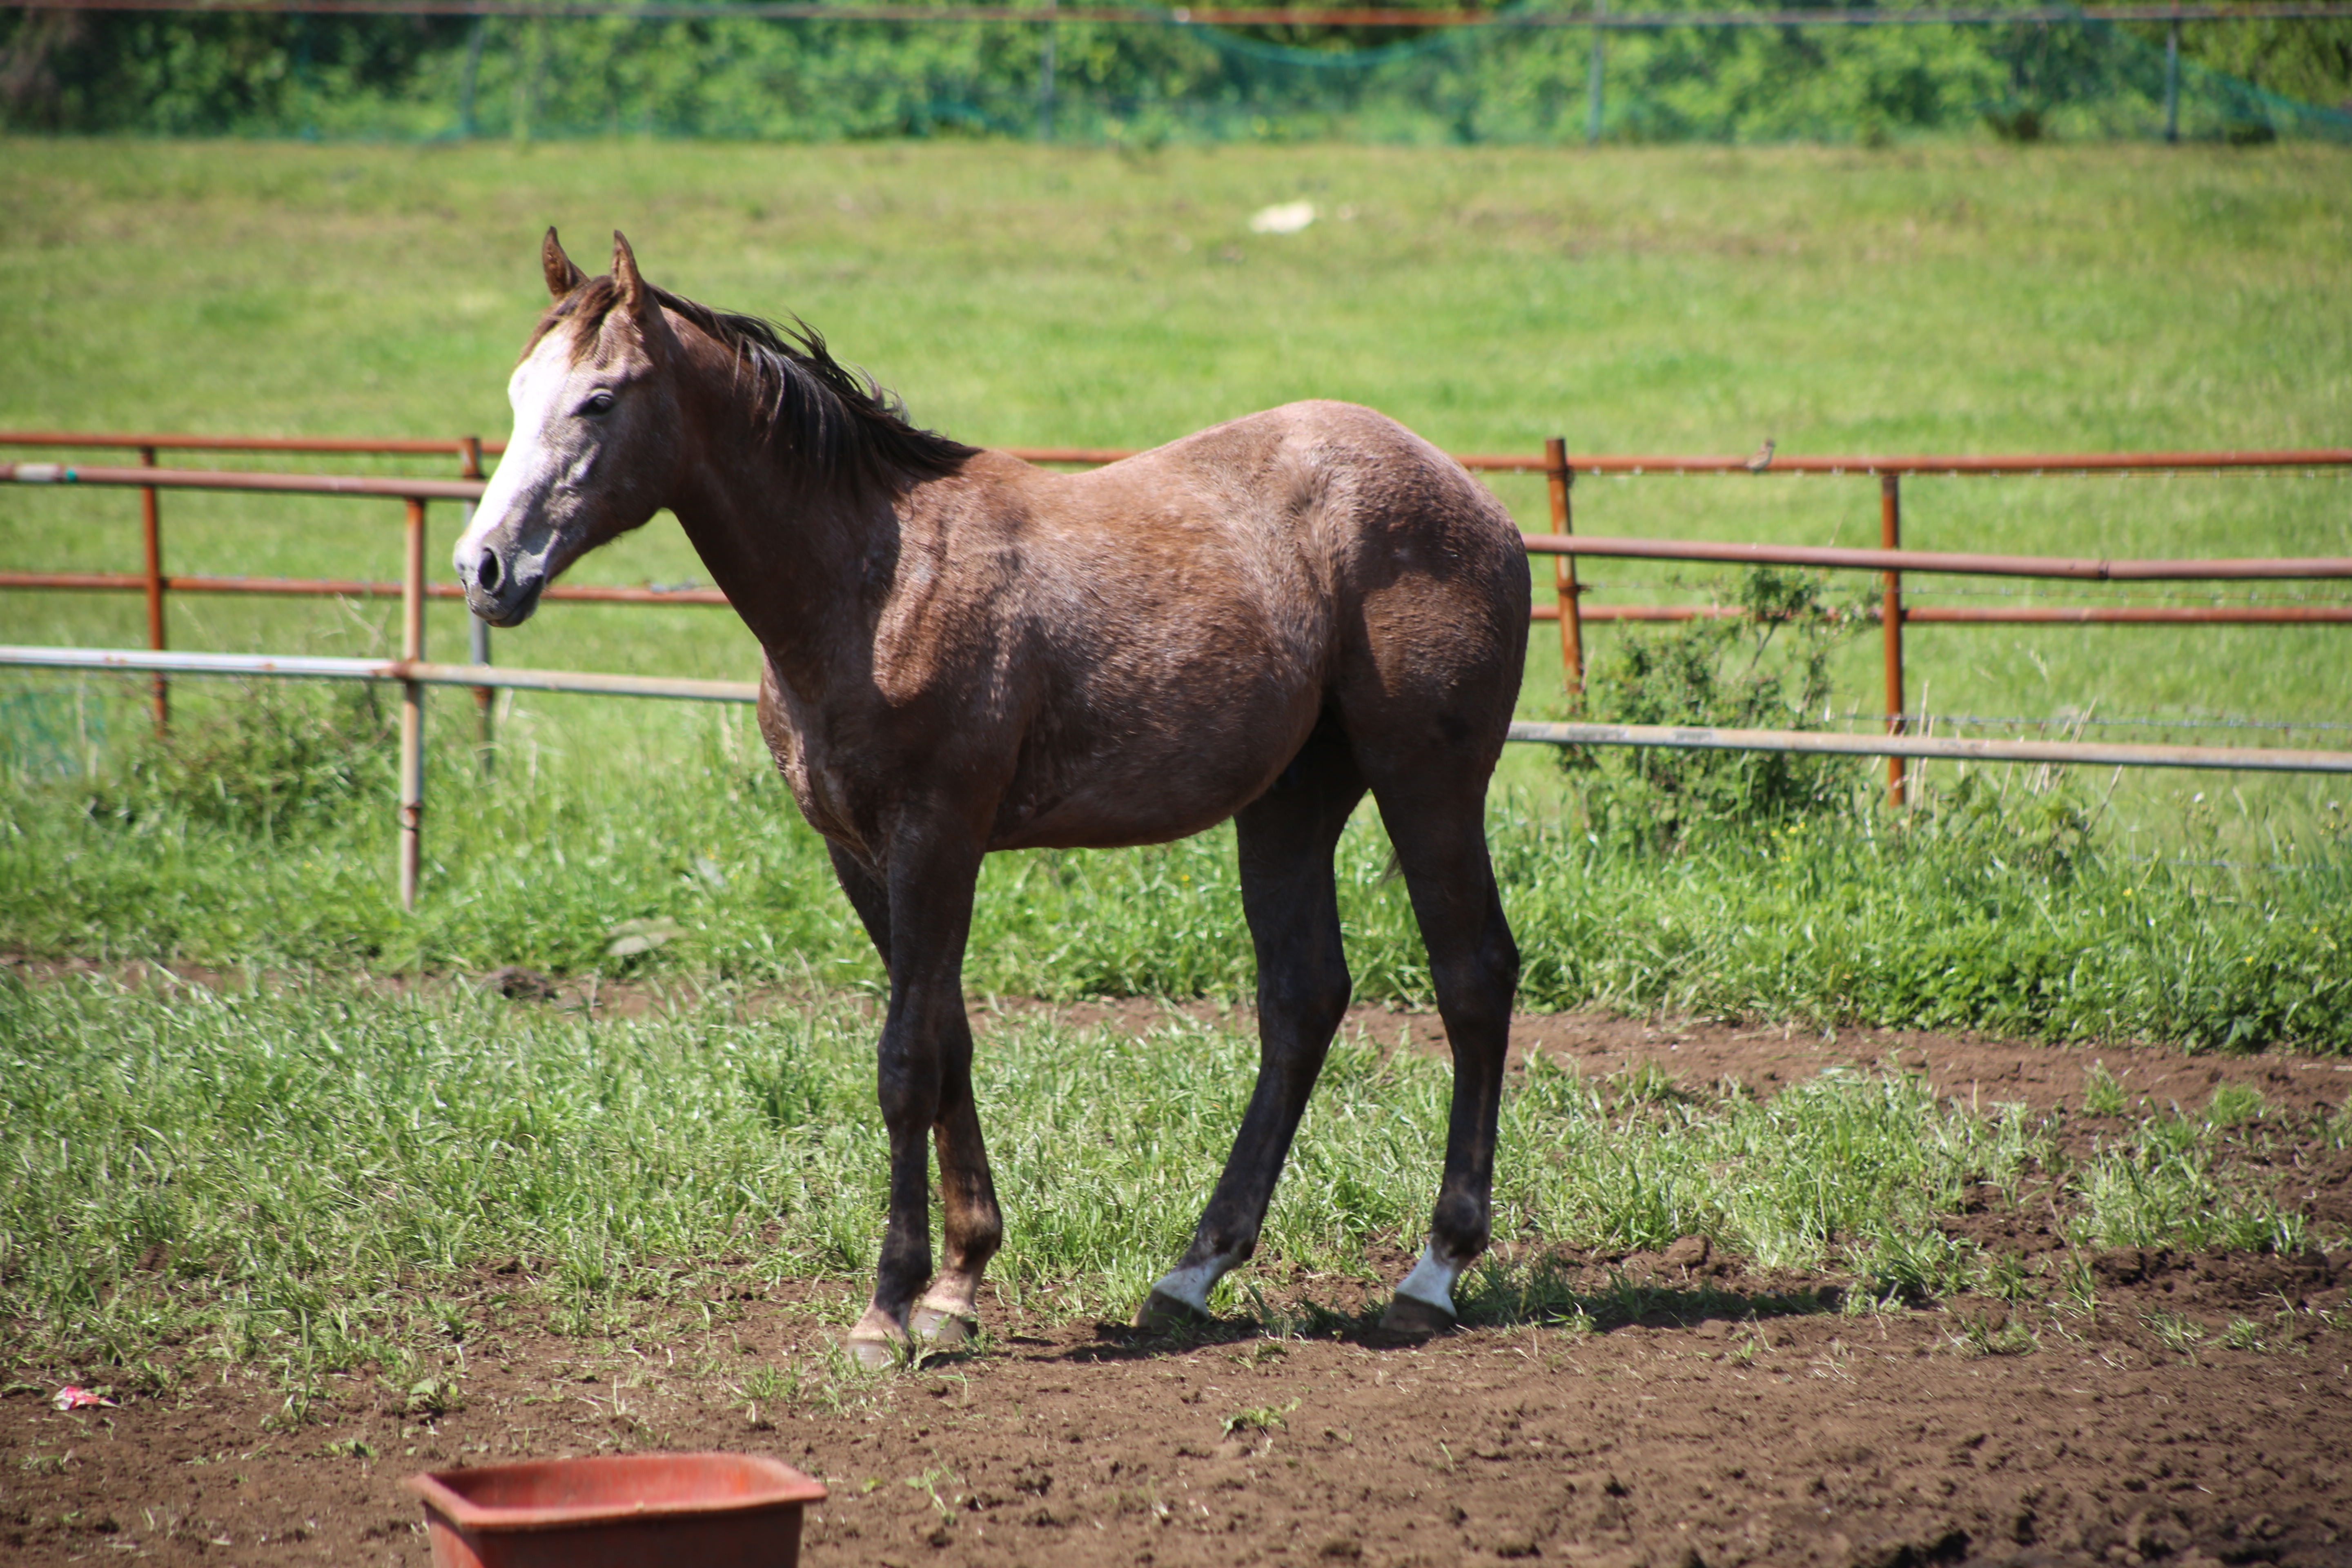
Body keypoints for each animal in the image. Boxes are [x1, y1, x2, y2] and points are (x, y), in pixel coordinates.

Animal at [459, 227, 1524, 1363]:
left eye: (599, 399)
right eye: (518, 392)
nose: (484, 568)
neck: (873, 581)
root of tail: (1476, 500)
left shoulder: (939, 834)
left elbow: (906, 1059)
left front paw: (887, 1306)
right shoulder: (861, 854)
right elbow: (950, 1040)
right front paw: (958, 1284)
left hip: (1427, 781)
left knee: (1471, 977)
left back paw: (1433, 1271)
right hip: (1289, 801)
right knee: (1301, 999)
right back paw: (1192, 1272)